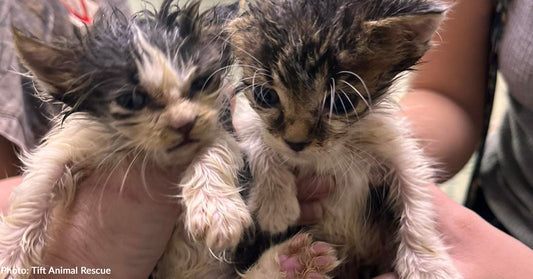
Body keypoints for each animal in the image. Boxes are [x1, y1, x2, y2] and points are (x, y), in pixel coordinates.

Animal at [231, 0, 464, 278]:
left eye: (341, 103)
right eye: (265, 96)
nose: (295, 143)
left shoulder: (394, 145)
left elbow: (415, 193)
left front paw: (429, 265)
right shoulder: (246, 118)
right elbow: (256, 132)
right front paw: (274, 202)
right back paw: (291, 263)